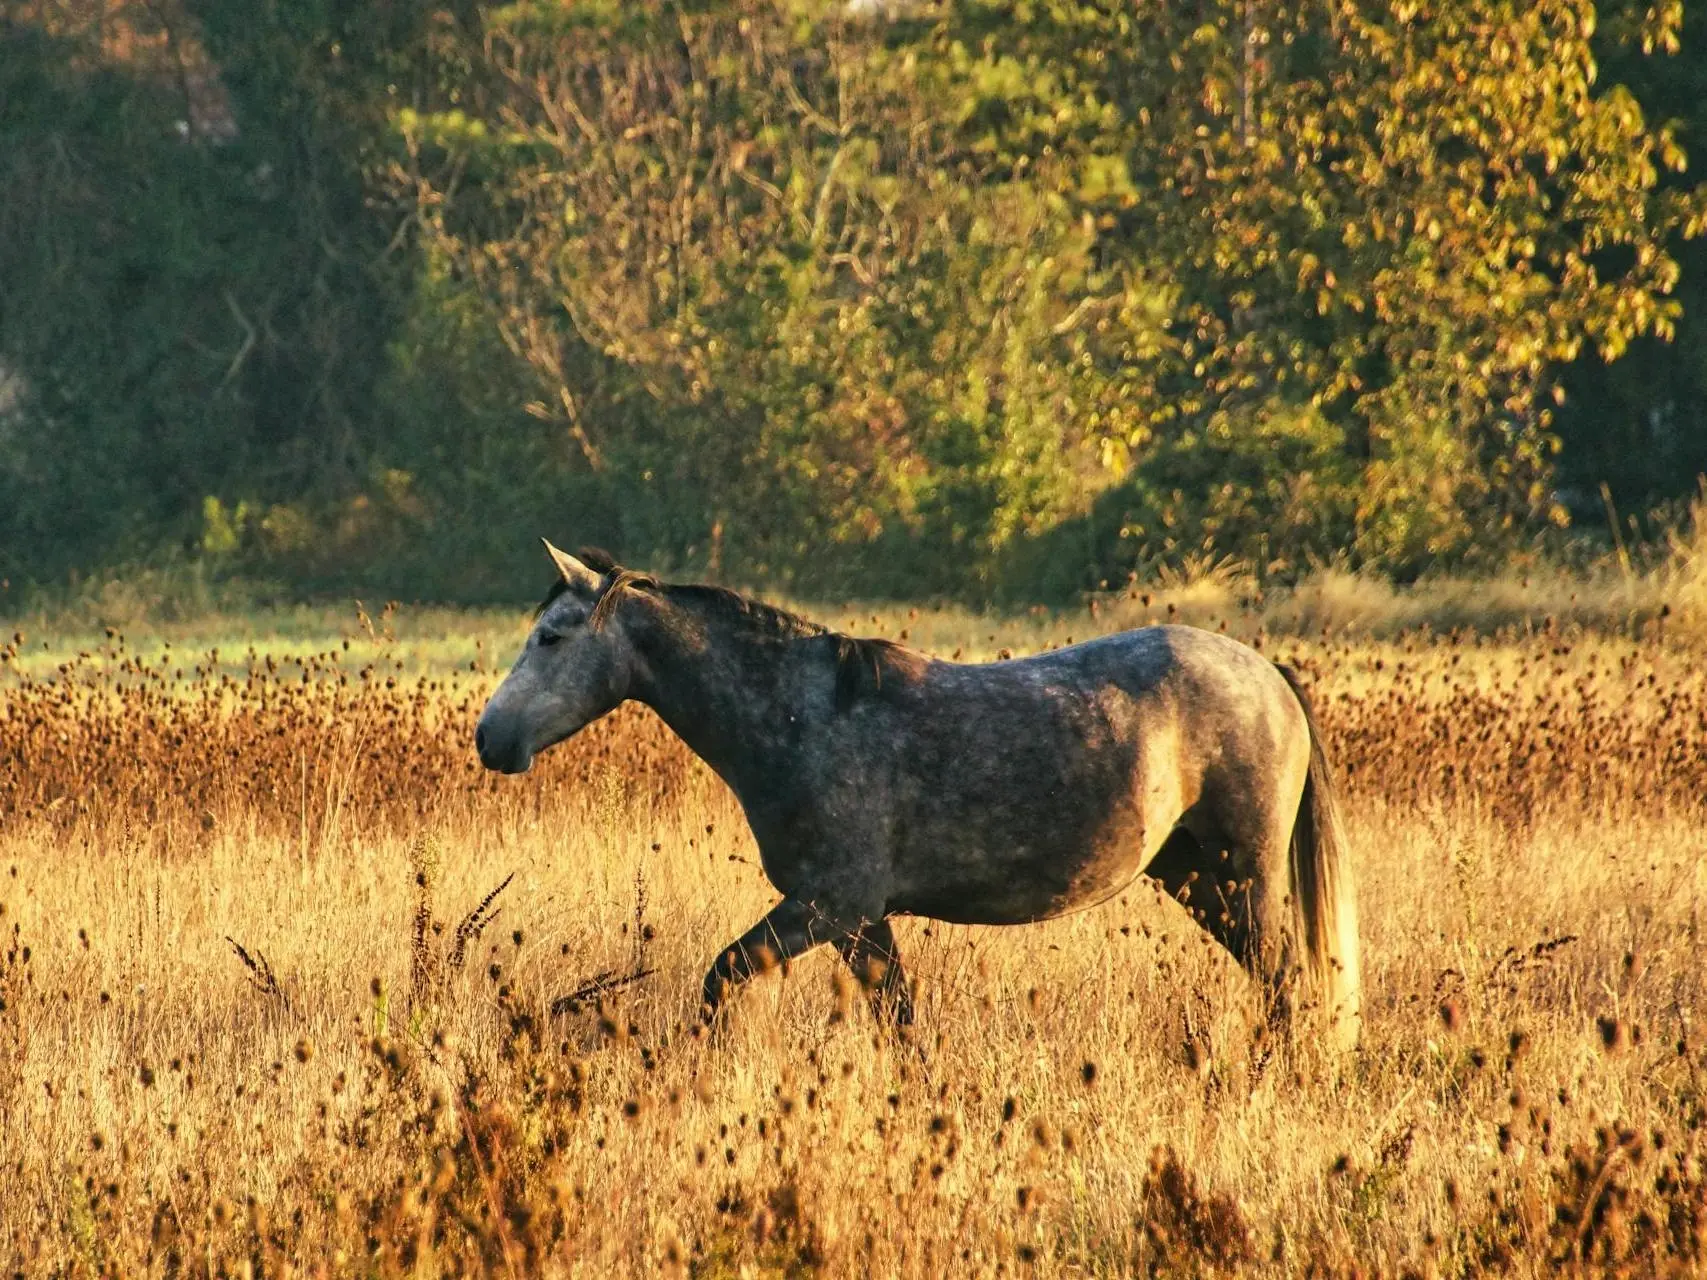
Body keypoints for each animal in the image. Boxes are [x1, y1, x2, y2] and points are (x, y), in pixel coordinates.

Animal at [474, 542, 1351, 1051]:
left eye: (551, 636)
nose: (490, 738)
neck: (802, 717)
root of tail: (1269, 674)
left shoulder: (827, 905)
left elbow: (723, 976)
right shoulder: (861, 921)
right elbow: (898, 1022)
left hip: (1244, 875)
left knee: (1283, 984)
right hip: (1196, 878)